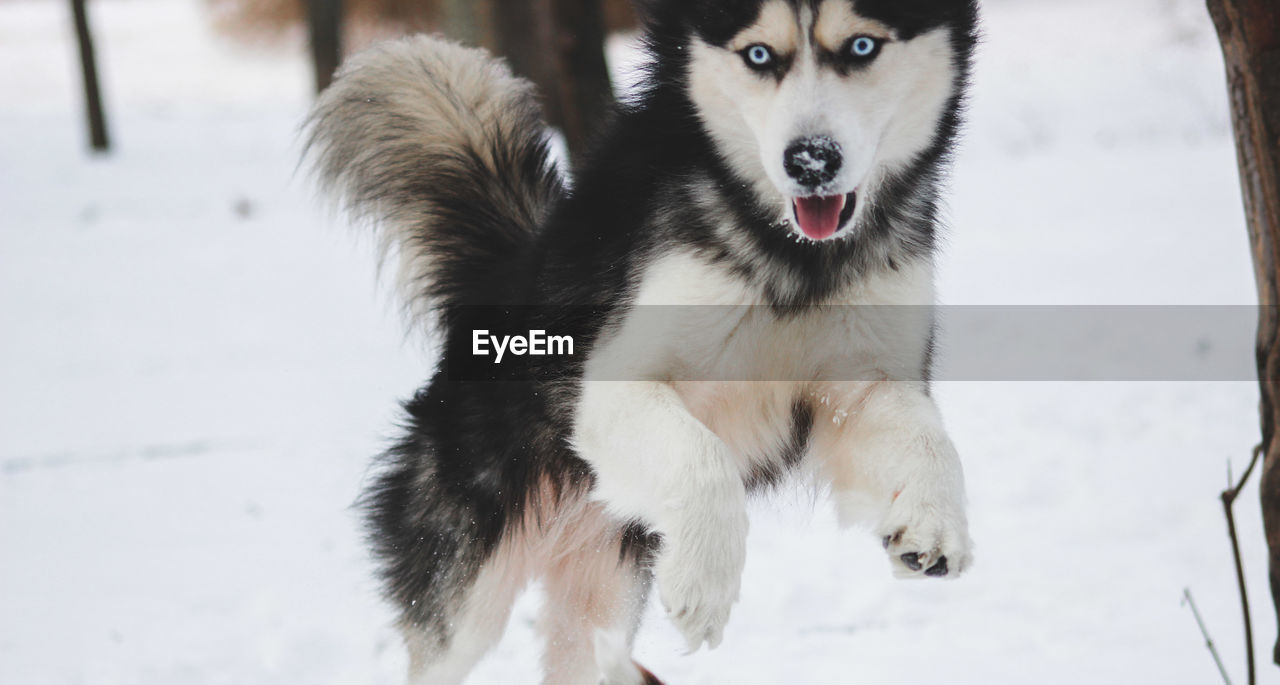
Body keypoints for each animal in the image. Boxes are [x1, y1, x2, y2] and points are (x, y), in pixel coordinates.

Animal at [307, 1, 977, 681]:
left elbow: (931, 439)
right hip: (466, 592)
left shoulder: (860, 384)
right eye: (759, 54)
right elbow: (704, 458)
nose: (810, 161)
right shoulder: (613, 383)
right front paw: (706, 585)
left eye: (862, 47)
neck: (791, 256)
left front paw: (934, 524)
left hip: (603, 607)